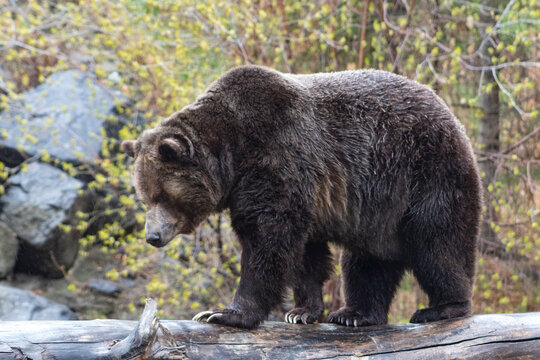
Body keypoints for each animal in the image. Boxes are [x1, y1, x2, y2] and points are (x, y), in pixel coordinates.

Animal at [122, 64, 480, 330]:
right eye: (144, 198)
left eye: (163, 195)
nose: (152, 236)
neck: (232, 152)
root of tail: (454, 120)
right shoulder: (305, 192)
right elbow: (306, 254)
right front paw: (302, 311)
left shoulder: (277, 156)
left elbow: (268, 239)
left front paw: (224, 313)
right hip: (378, 208)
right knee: (368, 259)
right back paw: (355, 314)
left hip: (426, 173)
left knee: (436, 242)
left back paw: (444, 307)